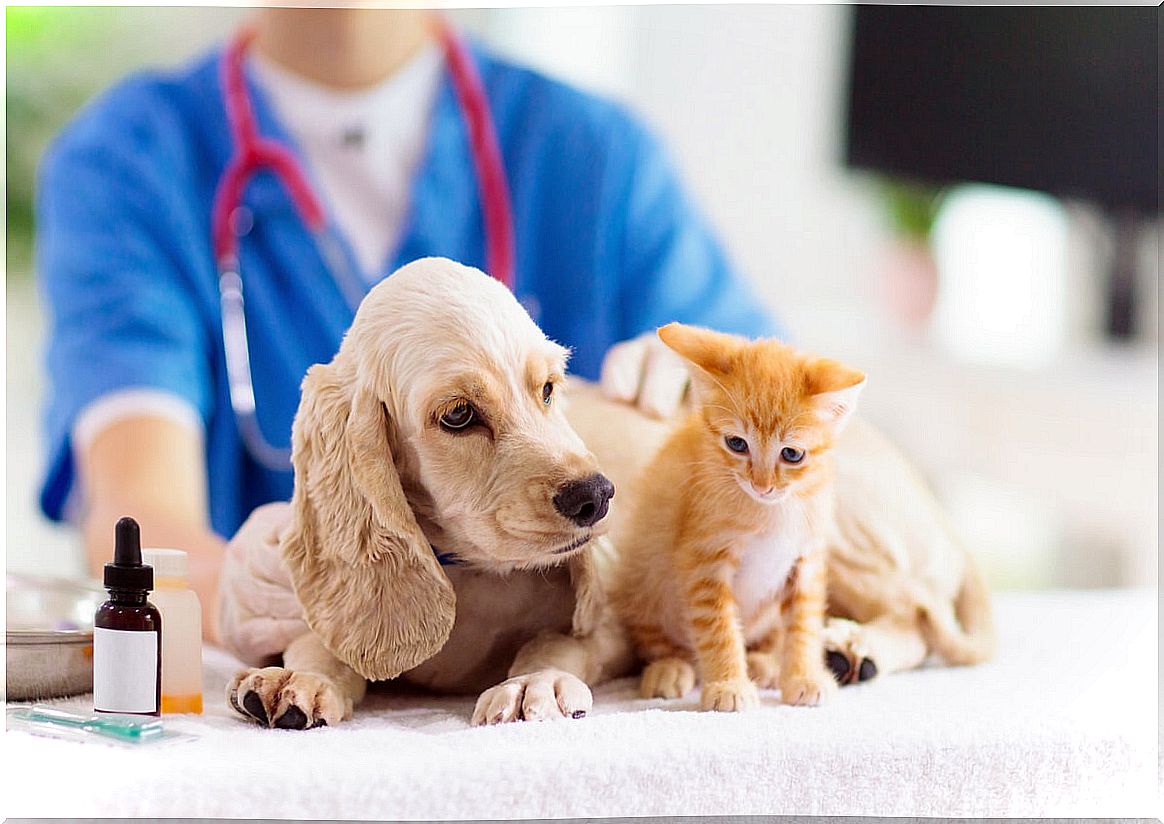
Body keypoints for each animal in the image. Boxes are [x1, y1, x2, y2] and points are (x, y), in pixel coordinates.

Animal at [614, 325, 861, 712]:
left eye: (792, 454)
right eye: (737, 444)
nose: (762, 485)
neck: (773, 511)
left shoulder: (806, 559)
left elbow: (803, 623)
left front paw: (803, 676)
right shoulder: (703, 561)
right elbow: (718, 628)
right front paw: (728, 685)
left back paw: (764, 663)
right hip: (644, 578)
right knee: (657, 635)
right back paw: (670, 667)